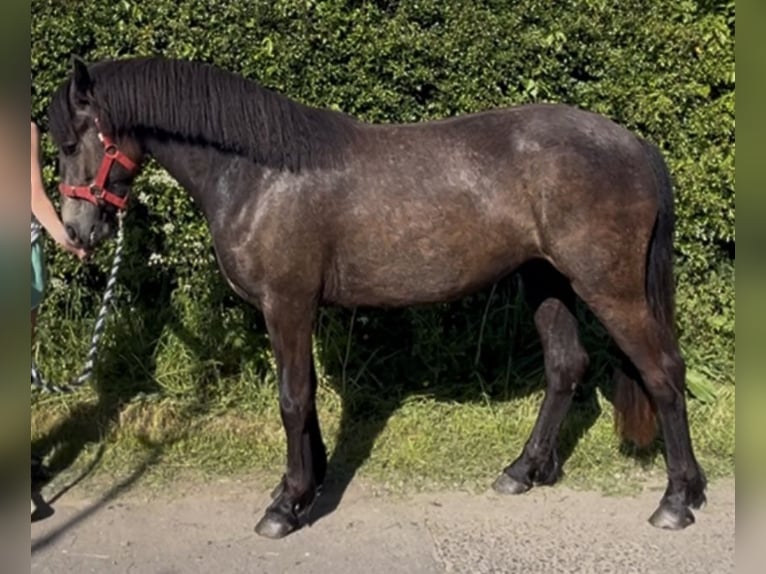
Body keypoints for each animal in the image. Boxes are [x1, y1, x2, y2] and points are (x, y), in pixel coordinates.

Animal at [46, 55, 706, 538]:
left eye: (72, 142)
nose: (78, 232)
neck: (259, 173)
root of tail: (635, 146)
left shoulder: (286, 303)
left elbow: (292, 398)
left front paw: (285, 507)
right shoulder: (298, 310)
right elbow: (307, 398)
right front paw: (304, 489)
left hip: (609, 287)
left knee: (663, 371)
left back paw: (677, 500)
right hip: (546, 281)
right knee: (567, 367)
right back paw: (523, 471)